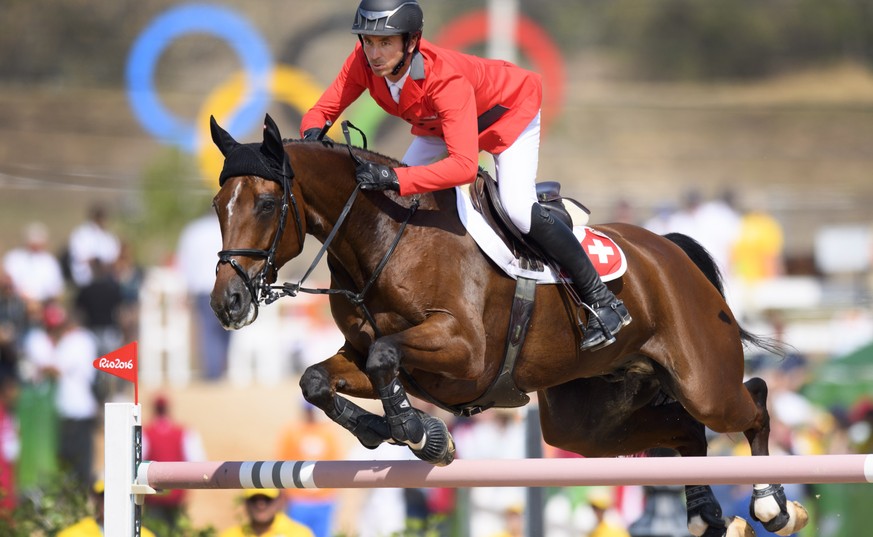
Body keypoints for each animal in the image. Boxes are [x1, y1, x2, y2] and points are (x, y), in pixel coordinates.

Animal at [208, 115, 808, 532]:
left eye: (266, 205)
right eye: (217, 205)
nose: (227, 303)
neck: (384, 238)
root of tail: (672, 252)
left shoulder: (465, 353)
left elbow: (386, 358)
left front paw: (420, 435)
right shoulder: (365, 355)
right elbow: (317, 379)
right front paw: (388, 431)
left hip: (704, 380)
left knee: (752, 399)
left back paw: (770, 504)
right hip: (585, 422)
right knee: (684, 429)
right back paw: (706, 512)